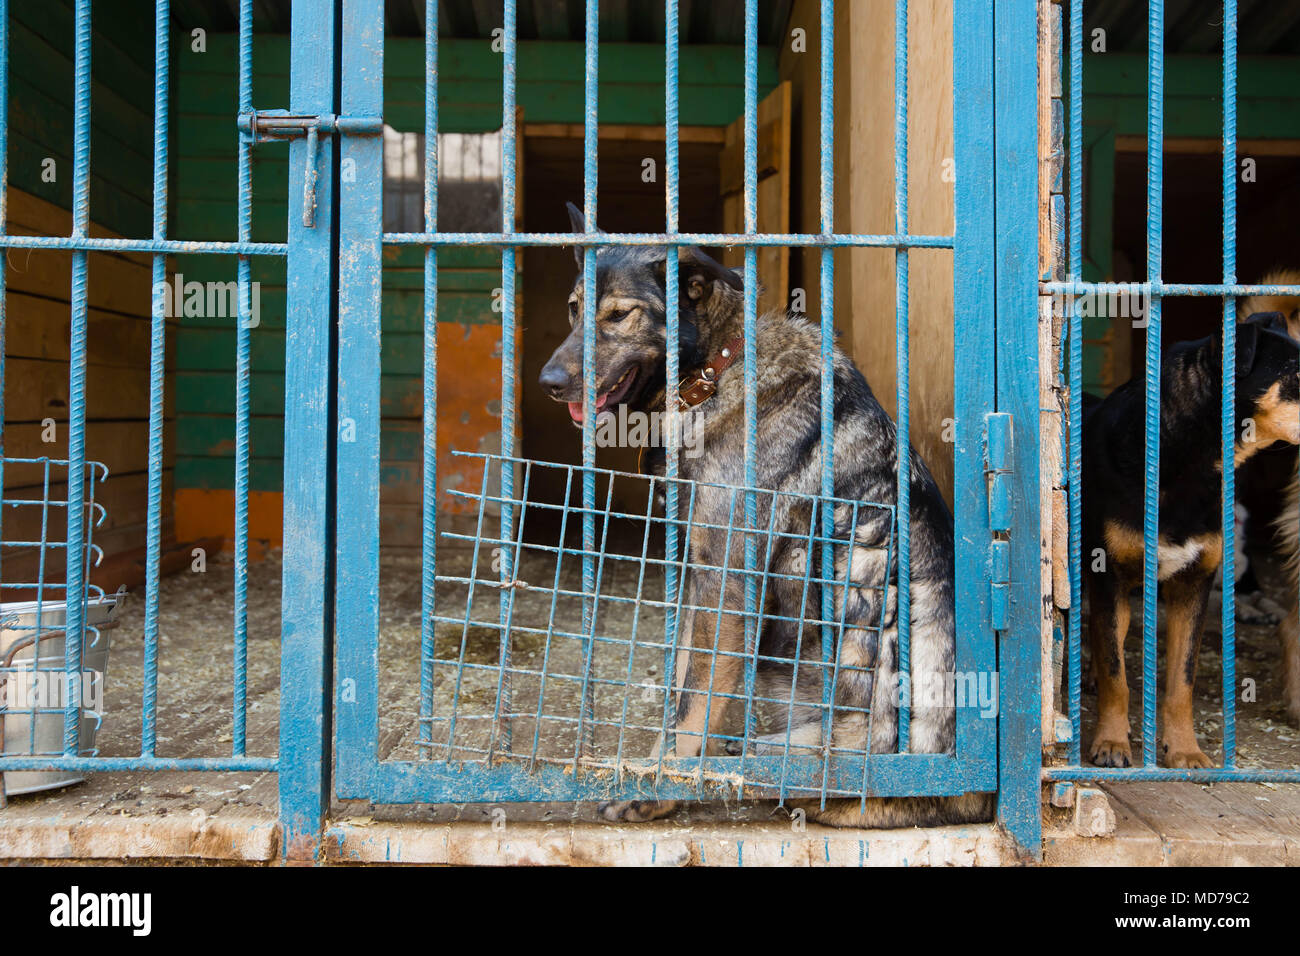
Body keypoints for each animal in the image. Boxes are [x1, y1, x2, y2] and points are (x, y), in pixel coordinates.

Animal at [533, 204, 987, 832]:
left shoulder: (727, 585)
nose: (548, 384)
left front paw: (660, 784)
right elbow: (684, 686)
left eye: (619, 316)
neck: (713, 375)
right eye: (575, 309)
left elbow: (695, 700)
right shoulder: (699, 580)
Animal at [1086, 317, 1300, 764]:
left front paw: (1184, 749)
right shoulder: (1109, 574)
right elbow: (1117, 675)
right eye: (1296, 374)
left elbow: (1181, 681)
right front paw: (1111, 741)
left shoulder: (1192, 584)